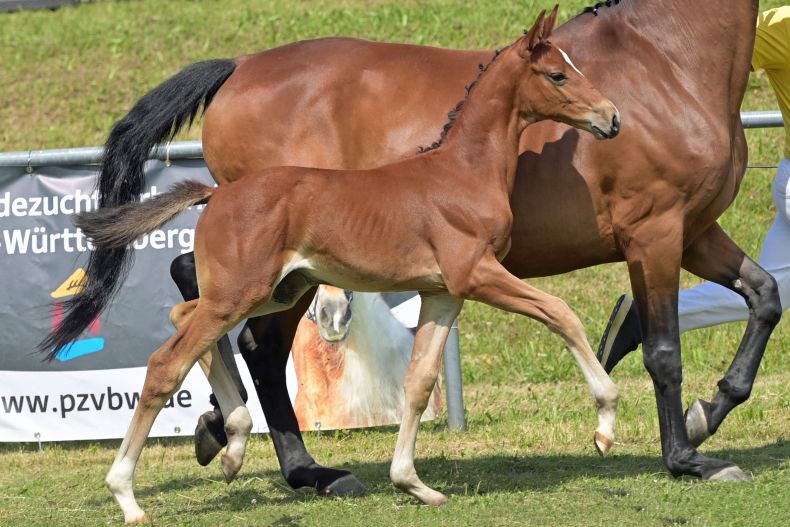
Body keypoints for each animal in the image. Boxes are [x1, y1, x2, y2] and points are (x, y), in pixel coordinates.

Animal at [69, 10, 624, 524]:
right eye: (558, 74)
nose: (612, 118)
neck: (462, 172)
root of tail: (216, 194)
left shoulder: (443, 293)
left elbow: (418, 382)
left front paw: (413, 484)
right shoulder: (477, 274)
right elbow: (561, 313)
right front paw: (604, 426)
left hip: (274, 290)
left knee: (184, 321)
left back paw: (233, 443)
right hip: (243, 293)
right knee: (168, 361)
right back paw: (128, 495)